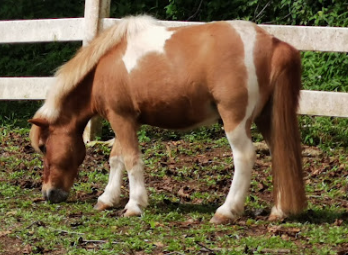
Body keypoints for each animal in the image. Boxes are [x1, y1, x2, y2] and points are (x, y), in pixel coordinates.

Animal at [30, 15, 308, 223]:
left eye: (43, 146)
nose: (48, 193)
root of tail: (273, 43)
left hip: (235, 121)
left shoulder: (121, 119)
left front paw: (134, 205)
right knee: (279, 154)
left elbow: (131, 160)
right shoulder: (126, 120)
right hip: (267, 119)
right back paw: (279, 211)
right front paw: (107, 199)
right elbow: (117, 159)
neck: (106, 65)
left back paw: (226, 211)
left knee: (245, 157)